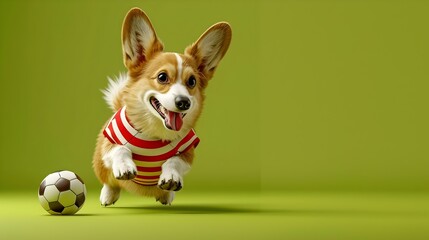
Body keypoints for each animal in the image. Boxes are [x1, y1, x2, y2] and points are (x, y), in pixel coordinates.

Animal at [90, 7, 231, 206]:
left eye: (192, 81)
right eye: (162, 77)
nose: (184, 102)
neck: (154, 134)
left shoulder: (188, 153)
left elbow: (173, 161)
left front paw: (170, 177)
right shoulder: (108, 143)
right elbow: (120, 149)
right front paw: (125, 166)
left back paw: (166, 195)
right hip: (100, 166)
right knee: (110, 182)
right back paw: (108, 195)